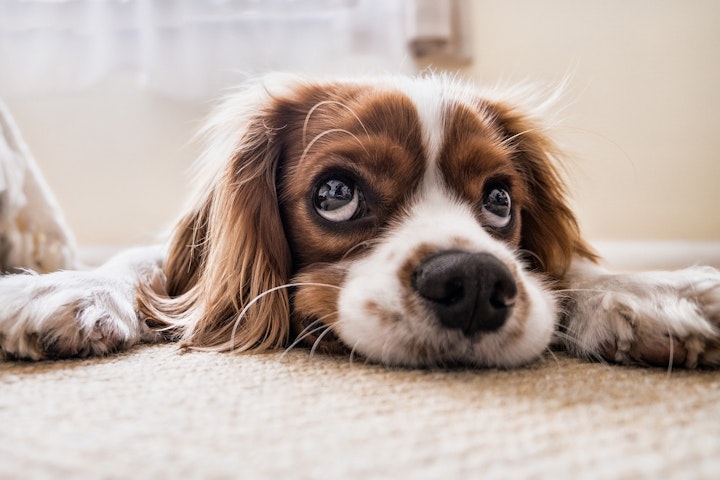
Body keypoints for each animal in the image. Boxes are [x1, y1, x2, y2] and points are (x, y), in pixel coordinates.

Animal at [1, 74, 720, 368]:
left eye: (499, 201)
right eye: (336, 193)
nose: (474, 283)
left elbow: (570, 270)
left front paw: (651, 293)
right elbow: (145, 265)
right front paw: (63, 289)